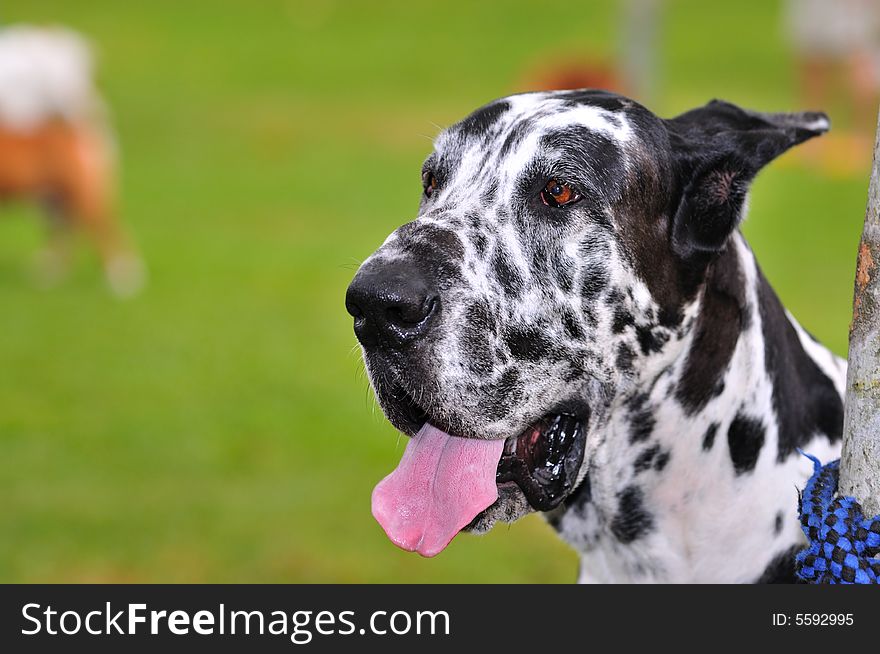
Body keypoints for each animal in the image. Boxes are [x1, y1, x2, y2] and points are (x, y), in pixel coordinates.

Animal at [0, 25, 144, 298]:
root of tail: (71, 128)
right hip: (54, 201)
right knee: (67, 237)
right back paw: (51, 276)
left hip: (82, 198)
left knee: (109, 236)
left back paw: (121, 285)